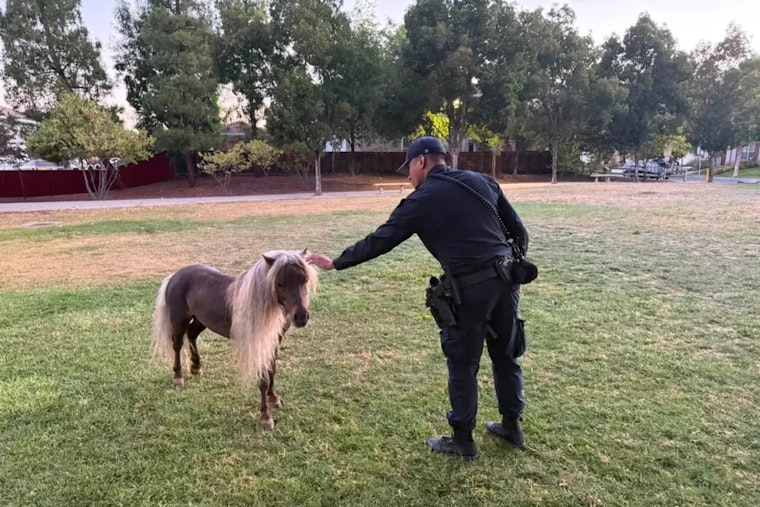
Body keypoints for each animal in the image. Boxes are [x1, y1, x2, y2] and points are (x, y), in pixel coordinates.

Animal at [150, 249, 318, 430]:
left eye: (305, 280)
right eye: (280, 284)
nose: (301, 317)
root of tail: (174, 276)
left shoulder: (274, 340)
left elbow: (272, 370)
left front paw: (273, 398)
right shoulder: (258, 345)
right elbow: (263, 379)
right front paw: (266, 418)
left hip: (202, 320)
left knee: (192, 334)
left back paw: (196, 367)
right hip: (179, 320)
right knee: (177, 344)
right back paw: (178, 377)